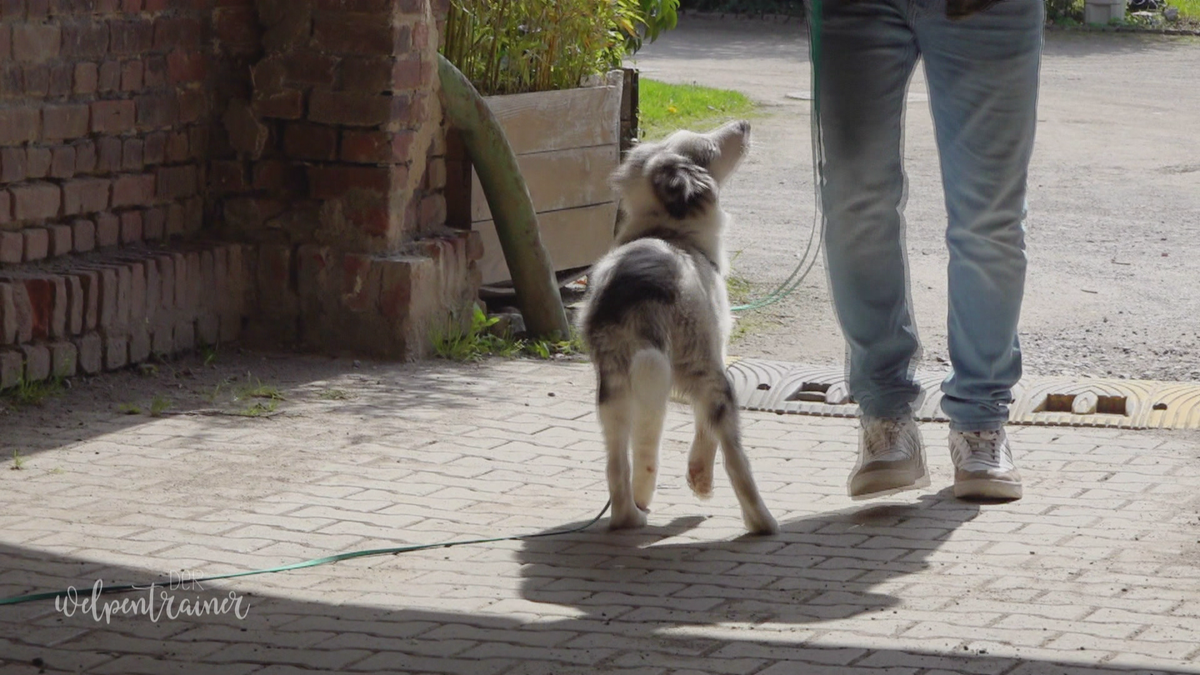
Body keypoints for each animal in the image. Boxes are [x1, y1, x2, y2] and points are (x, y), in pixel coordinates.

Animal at [578, 119, 777, 530]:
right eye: (708, 149)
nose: (744, 124)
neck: (670, 232)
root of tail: (637, 296)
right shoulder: (717, 354)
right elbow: (705, 430)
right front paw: (699, 479)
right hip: (705, 373)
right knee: (735, 457)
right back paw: (761, 522)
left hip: (615, 390)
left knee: (623, 464)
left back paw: (633, 514)